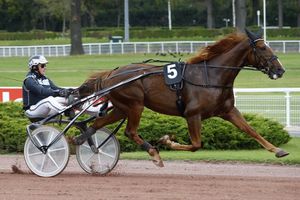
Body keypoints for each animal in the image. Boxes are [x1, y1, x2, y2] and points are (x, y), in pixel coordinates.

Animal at [73, 29, 288, 167]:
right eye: (263, 48)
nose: (280, 70)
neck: (212, 76)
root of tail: (111, 73)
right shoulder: (193, 115)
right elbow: (196, 145)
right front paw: (167, 141)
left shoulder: (228, 111)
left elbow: (251, 130)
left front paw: (278, 150)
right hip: (135, 105)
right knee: (130, 132)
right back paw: (154, 153)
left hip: (121, 107)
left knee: (98, 123)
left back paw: (83, 140)